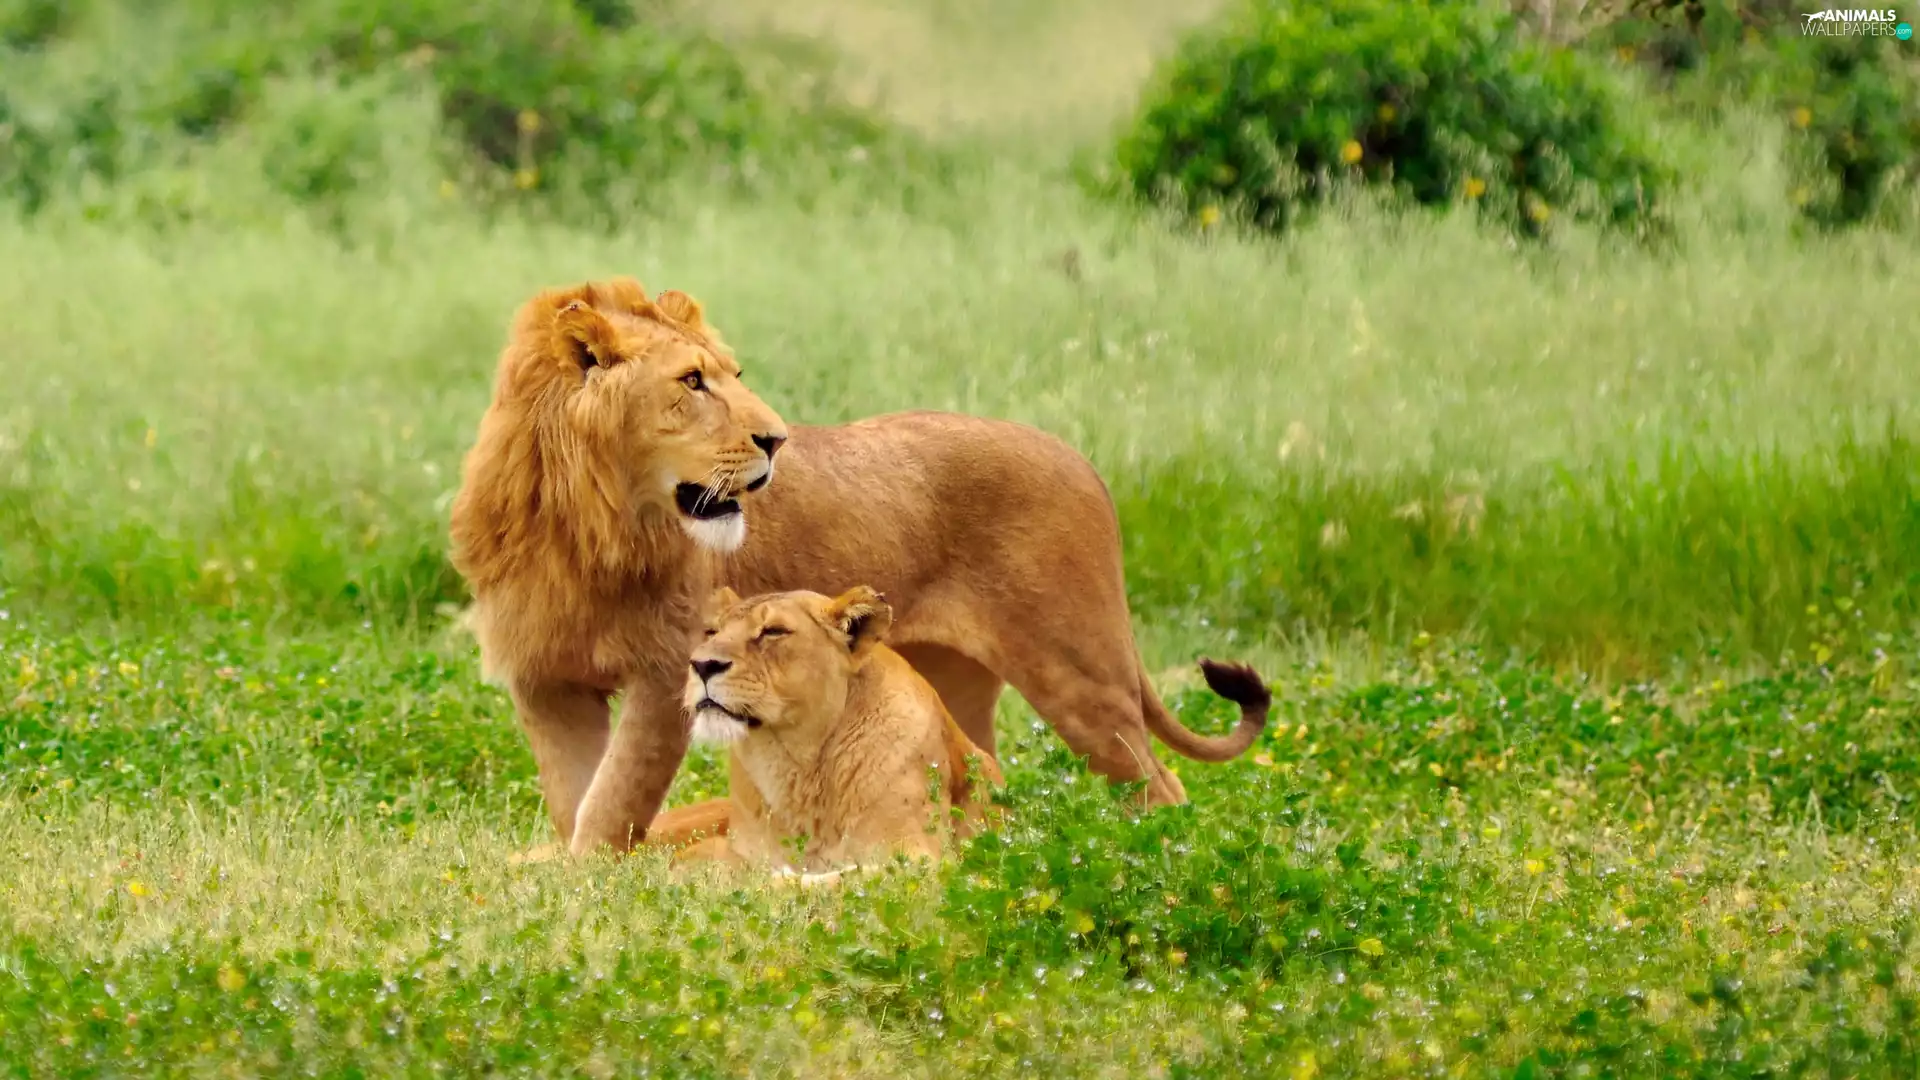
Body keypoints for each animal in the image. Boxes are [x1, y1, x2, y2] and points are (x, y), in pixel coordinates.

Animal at [448, 277, 1274, 858]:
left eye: (732, 373)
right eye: (691, 382)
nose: (776, 439)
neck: (580, 522)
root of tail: (1081, 461)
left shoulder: (664, 674)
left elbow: (614, 803)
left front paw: (593, 886)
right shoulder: (546, 681)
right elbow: (575, 800)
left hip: (1079, 672)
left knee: (1161, 783)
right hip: (956, 682)